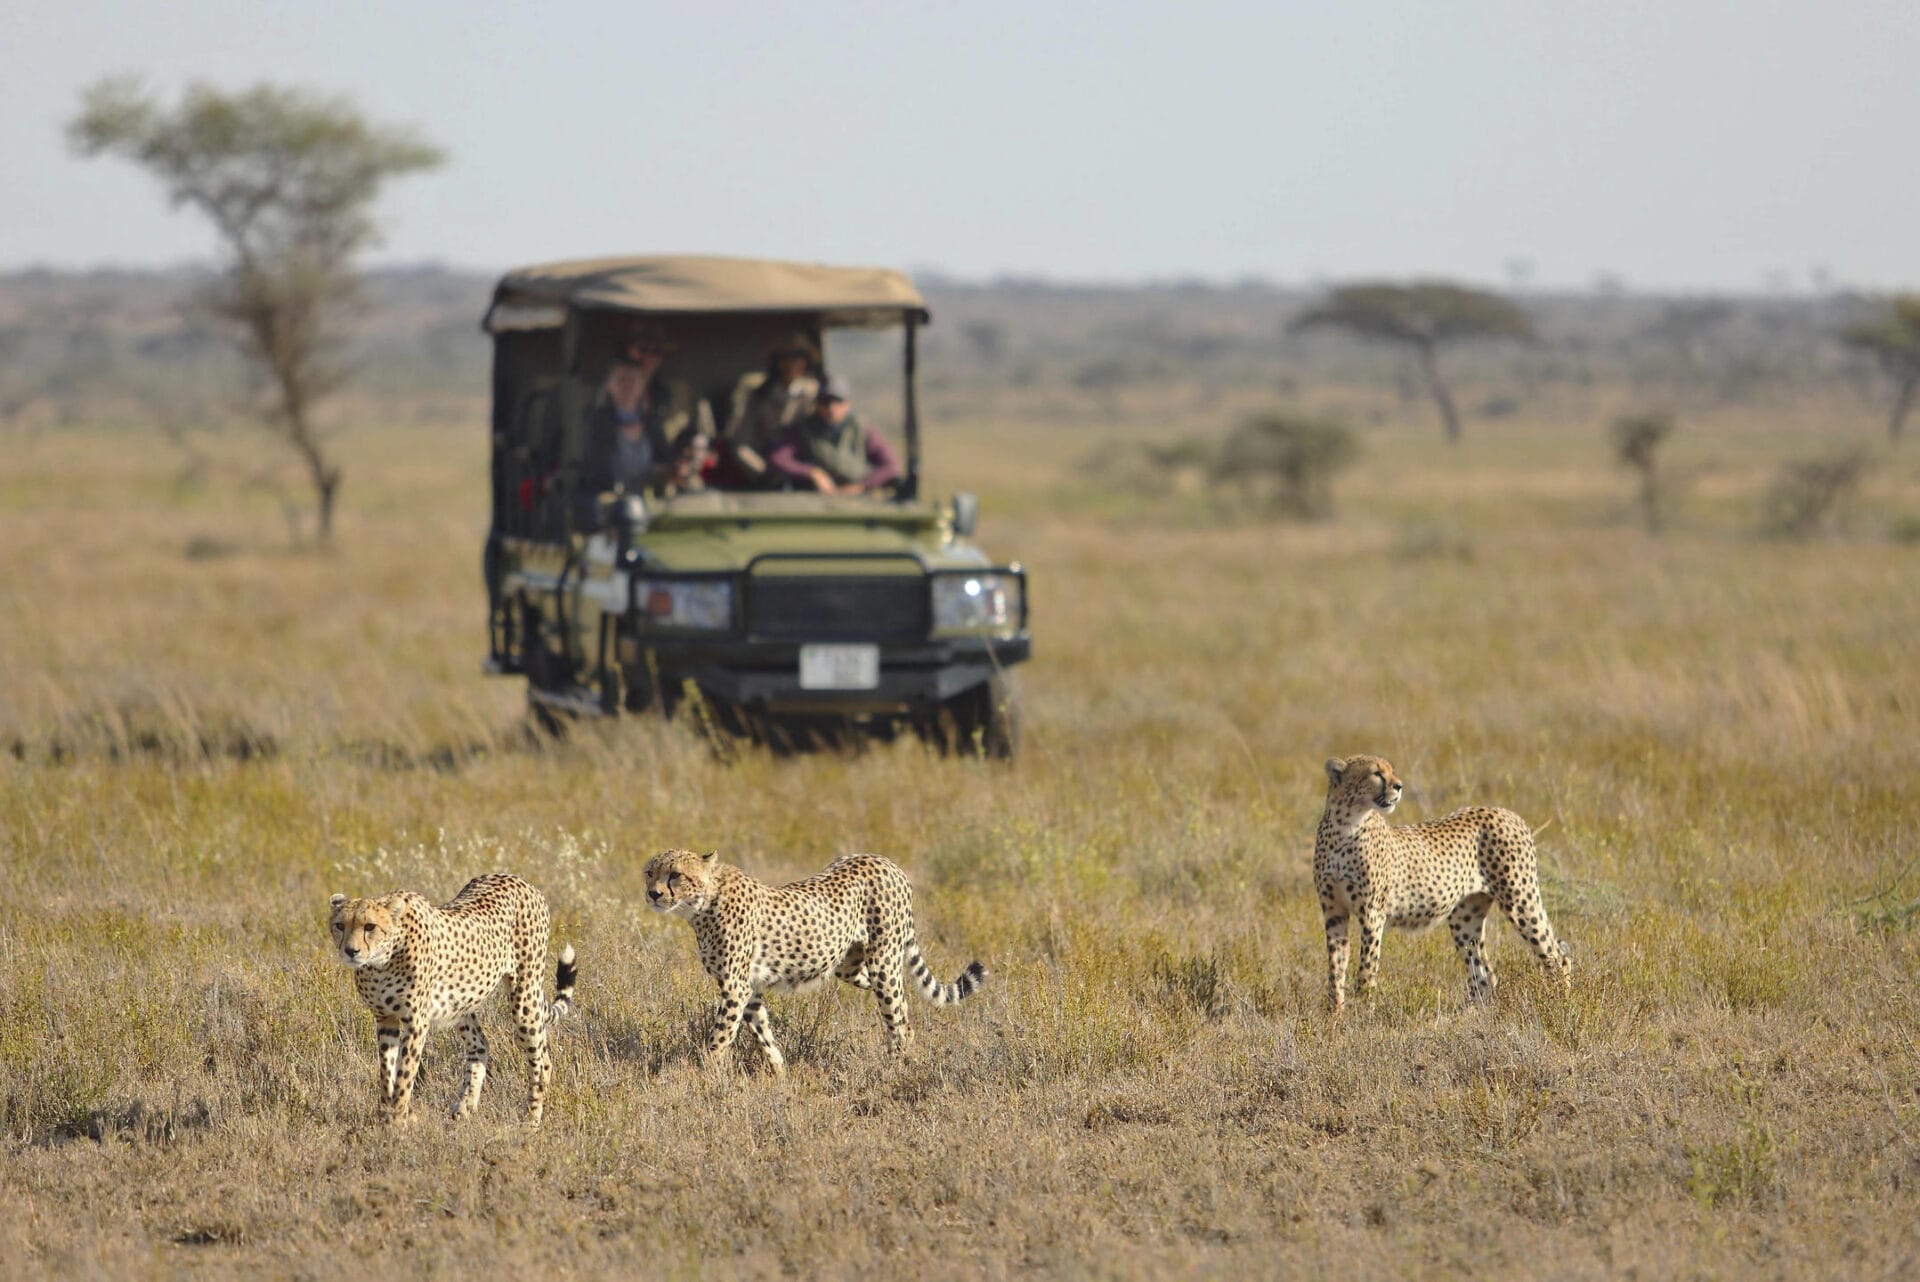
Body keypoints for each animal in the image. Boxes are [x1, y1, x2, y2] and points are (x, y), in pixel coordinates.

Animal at [328, 873, 577, 1125]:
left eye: (370, 926)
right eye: (340, 926)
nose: (351, 951)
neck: (381, 961)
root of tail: (518, 879)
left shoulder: (416, 1021)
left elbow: (404, 1074)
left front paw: (397, 1119)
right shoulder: (385, 1018)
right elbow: (386, 1072)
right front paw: (387, 1115)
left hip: (525, 999)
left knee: (542, 1062)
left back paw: (531, 1121)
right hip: (461, 1004)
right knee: (481, 1044)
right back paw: (464, 1107)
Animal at [642, 849, 987, 1075]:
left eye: (676, 875)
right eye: (649, 872)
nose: (653, 894)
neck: (702, 904)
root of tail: (883, 860)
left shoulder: (735, 988)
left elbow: (718, 1039)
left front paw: (702, 1074)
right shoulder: (749, 990)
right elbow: (763, 1034)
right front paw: (780, 1075)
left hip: (883, 962)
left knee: (896, 1012)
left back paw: (896, 1067)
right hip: (851, 967)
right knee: (902, 1007)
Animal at [1313, 754, 1571, 1014]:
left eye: (1391, 771)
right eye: (1376, 773)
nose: (1399, 786)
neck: (1346, 823)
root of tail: (1507, 812)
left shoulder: (1372, 913)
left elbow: (1366, 969)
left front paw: (1363, 1012)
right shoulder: (1334, 913)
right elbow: (1336, 968)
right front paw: (1335, 1015)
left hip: (1519, 899)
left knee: (1557, 955)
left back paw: (1560, 1003)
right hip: (1465, 917)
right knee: (1483, 974)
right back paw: (1467, 1015)